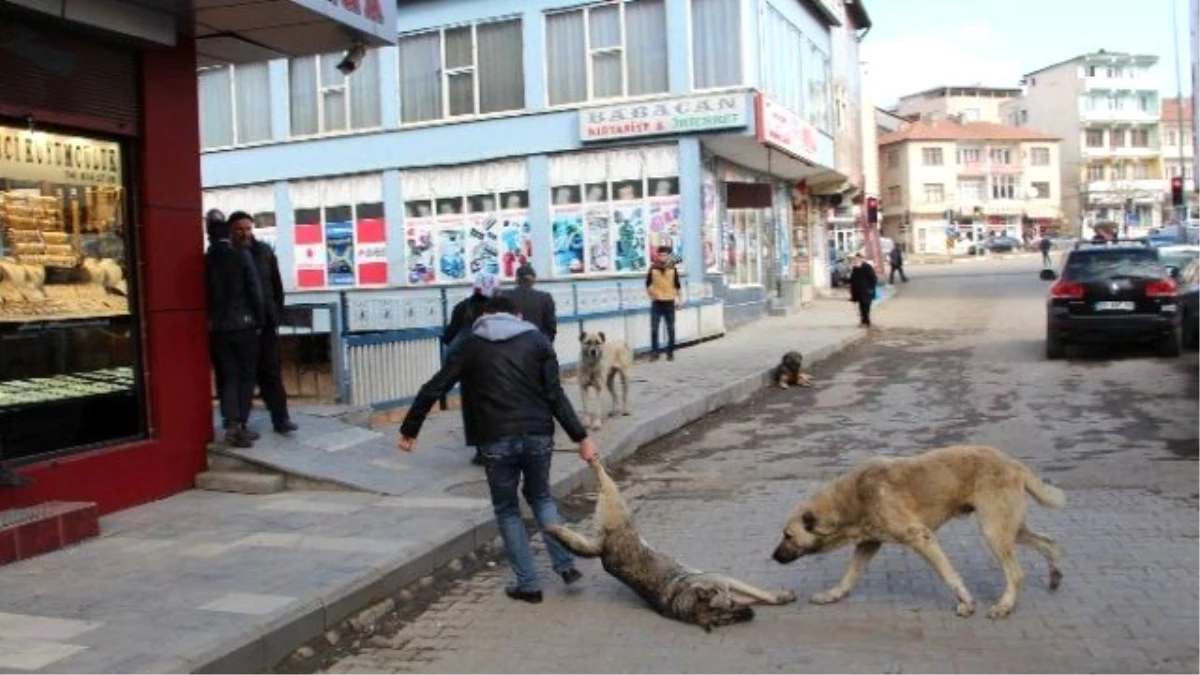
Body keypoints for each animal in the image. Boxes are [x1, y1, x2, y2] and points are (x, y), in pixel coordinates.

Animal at [547, 456, 796, 629]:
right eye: (728, 612)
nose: (750, 615)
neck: (687, 599)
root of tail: (603, 549)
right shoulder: (724, 580)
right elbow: (761, 594)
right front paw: (781, 597)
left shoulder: (728, 585)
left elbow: (756, 595)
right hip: (618, 508)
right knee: (604, 479)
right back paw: (595, 460)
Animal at [772, 444, 1065, 619]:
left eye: (788, 536)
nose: (773, 557)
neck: (851, 500)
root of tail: (1013, 463)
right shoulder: (868, 543)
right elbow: (849, 576)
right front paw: (832, 595)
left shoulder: (921, 537)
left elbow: (949, 575)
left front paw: (966, 601)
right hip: (1009, 529)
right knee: (1048, 540)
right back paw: (1055, 575)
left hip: (993, 530)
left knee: (1016, 572)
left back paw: (1005, 605)